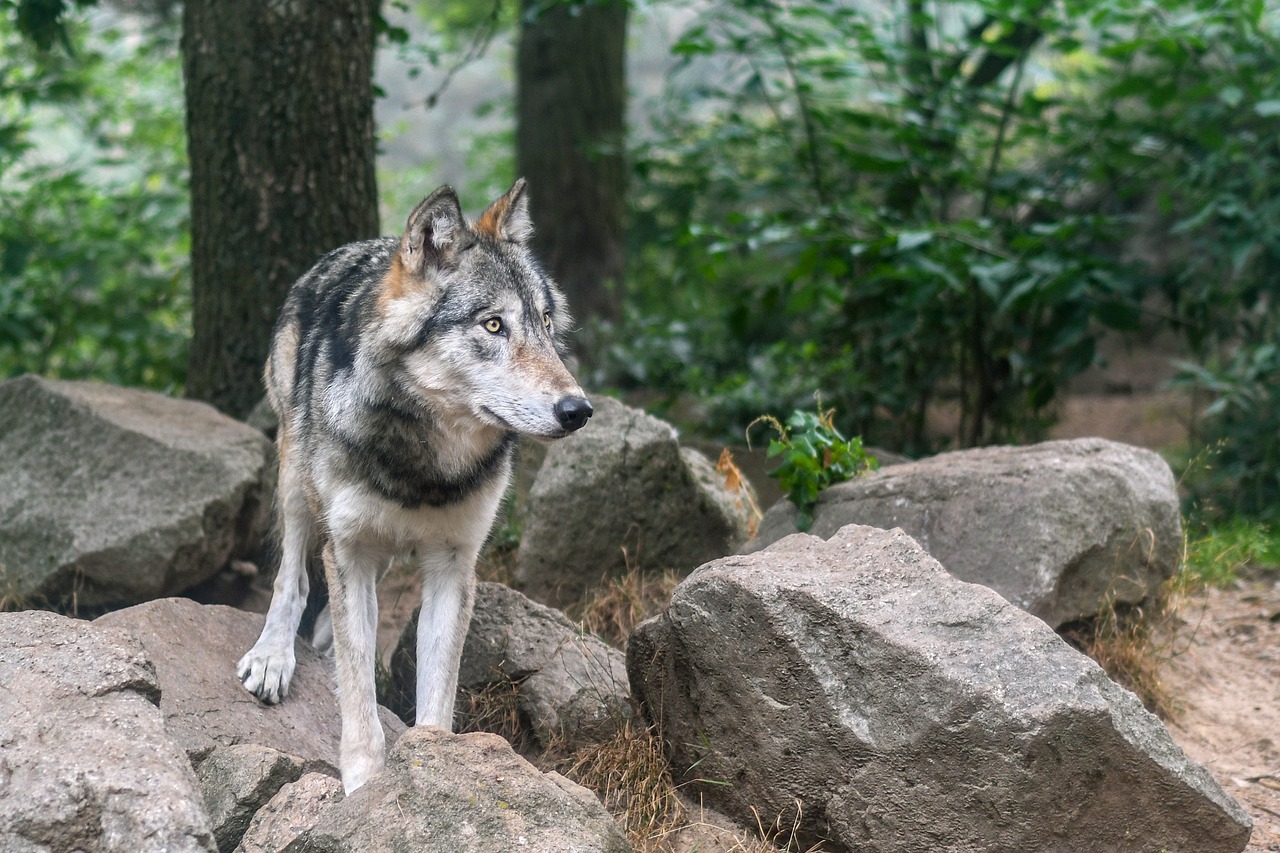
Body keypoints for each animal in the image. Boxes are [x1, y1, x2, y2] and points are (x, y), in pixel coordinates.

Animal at [238, 179, 591, 788]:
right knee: (292, 577)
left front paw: (433, 767)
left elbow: (436, 694)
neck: (425, 467)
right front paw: (364, 785)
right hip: (295, 478)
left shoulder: (453, 564)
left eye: (546, 324)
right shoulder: (349, 549)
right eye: (493, 325)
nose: (579, 410)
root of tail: (353, 247)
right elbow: (358, 693)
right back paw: (274, 655)